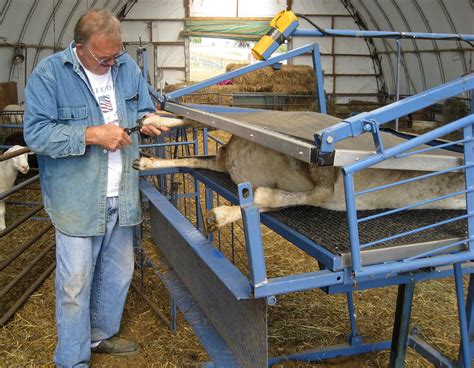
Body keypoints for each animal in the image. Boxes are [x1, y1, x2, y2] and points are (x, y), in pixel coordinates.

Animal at [131, 115, 464, 230]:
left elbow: (267, 201)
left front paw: (221, 216)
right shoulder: (325, 169)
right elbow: (316, 191)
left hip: (225, 158)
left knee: (202, 154)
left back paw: (146, 158)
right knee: (192, 119)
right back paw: (152, 119)